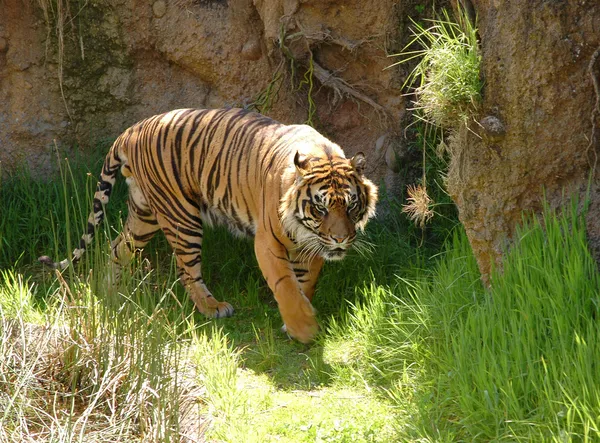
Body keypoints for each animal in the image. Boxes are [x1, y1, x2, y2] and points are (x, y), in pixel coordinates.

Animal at [39, 107, 378, 344]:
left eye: (351, 205)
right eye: (320, 208)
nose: (340, 240)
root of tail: (132, 130)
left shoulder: (311, 246)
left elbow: (304, 283)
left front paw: (296, 319)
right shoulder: (268, 241)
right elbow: (286, 284)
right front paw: (304, 328)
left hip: (144, 214)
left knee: (117, 247)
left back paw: (107, 289)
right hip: (181, 215)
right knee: (186, 270)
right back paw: (212, 306)